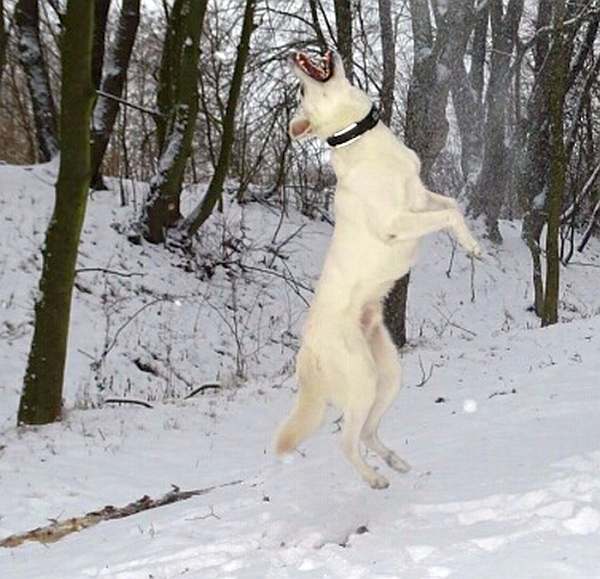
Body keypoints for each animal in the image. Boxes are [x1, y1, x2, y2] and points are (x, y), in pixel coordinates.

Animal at [274, 49, 480, 490]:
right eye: (301, 91)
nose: (292, 57)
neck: (359, 135)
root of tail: (307, 351)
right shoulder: (397, 221)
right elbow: (449, 216)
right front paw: (473, 247)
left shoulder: (422, 197)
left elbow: (453, 206)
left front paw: (472, 244)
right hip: (363, 381)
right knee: (347, 442)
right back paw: (373, 478)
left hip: (389, 375)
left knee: (369, 432)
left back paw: (394, 461)